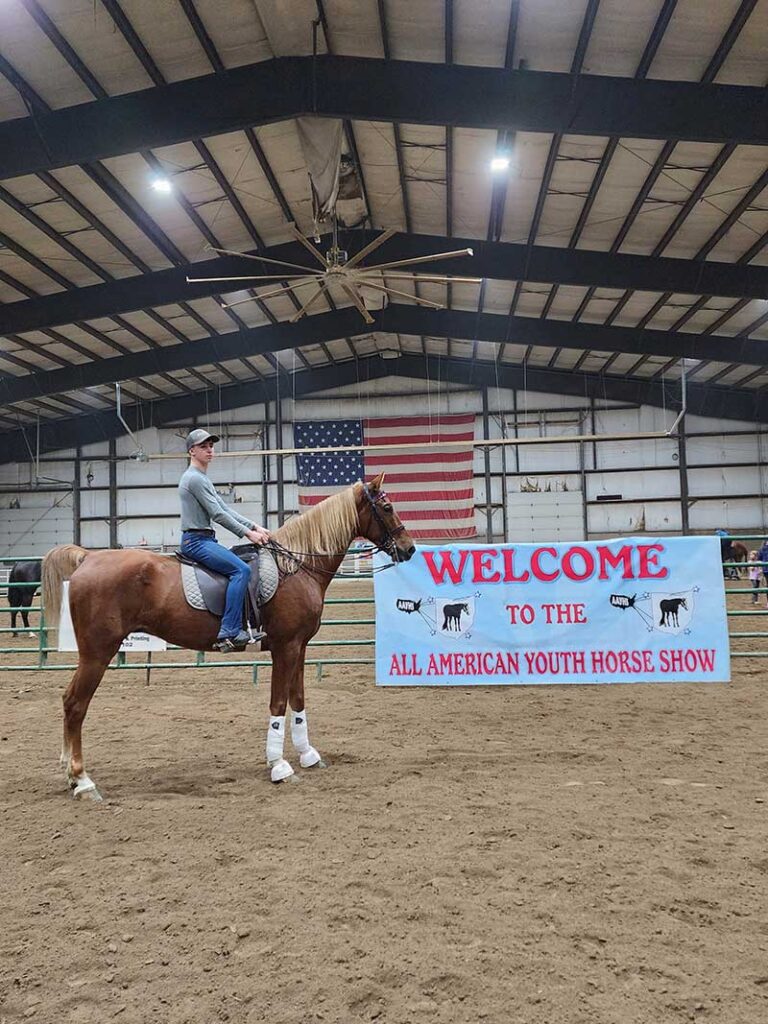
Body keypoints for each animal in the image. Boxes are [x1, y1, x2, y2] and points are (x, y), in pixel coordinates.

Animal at [41, 471, 415, 798]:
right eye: (386, 507)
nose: (409, 548)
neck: (295, 567)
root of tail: (88, 558)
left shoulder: (300, 647)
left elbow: (298, 700)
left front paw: (308, 755)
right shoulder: (285, 648)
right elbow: (278, 703)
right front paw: (279, 765)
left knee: (70, 703)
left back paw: (71, 776)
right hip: (97, 653)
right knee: (75, 704)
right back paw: (82, 780)